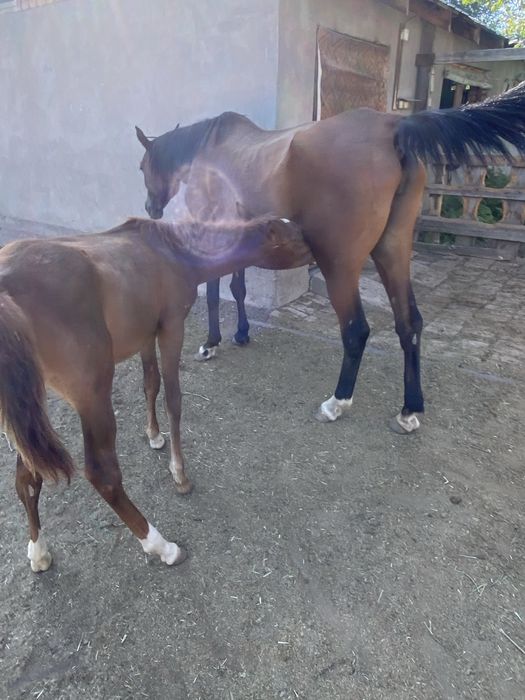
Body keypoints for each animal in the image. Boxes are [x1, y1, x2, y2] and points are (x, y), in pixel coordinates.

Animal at [0, 215, 311, 572]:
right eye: (295, 238)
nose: (319, 257)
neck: (171, 251)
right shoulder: (172, 328)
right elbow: (173, 398)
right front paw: (179, 474)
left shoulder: (146, 335)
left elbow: (150, 383)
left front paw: (154, 435)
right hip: (92, 394)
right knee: (103, 474)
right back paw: (162, 546)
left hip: (28, 406)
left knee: (27, 477)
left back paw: (38, 551)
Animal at [136, 82, 525, 434]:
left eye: (142, 166)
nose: (151, 208)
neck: (208, 152)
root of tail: (392, 128)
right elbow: (238, 287)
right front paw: (242, 334)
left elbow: (216, 292)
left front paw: (211, 343)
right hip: (393, 252)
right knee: (409, 323)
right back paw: (409, 410)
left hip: (339, 265)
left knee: (356, 330)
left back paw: (336, 403)